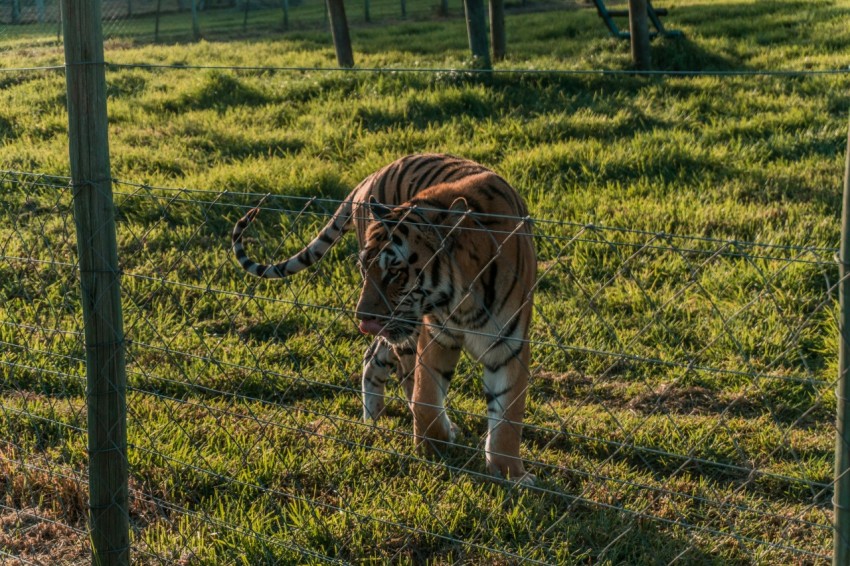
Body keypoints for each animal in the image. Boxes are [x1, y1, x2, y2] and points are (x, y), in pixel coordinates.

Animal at [232, 153, 536, 482]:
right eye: (364, 268)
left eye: (395, 272)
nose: (363, 317)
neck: (463, 300)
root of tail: (371, 176)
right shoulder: (436, 335)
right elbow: (426, 395)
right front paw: (433, 448)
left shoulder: (508, 346)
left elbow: (507, 417)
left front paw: (511, 475)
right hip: (408, 330)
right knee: (400, 370)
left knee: (376, 356)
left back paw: (372, 418)